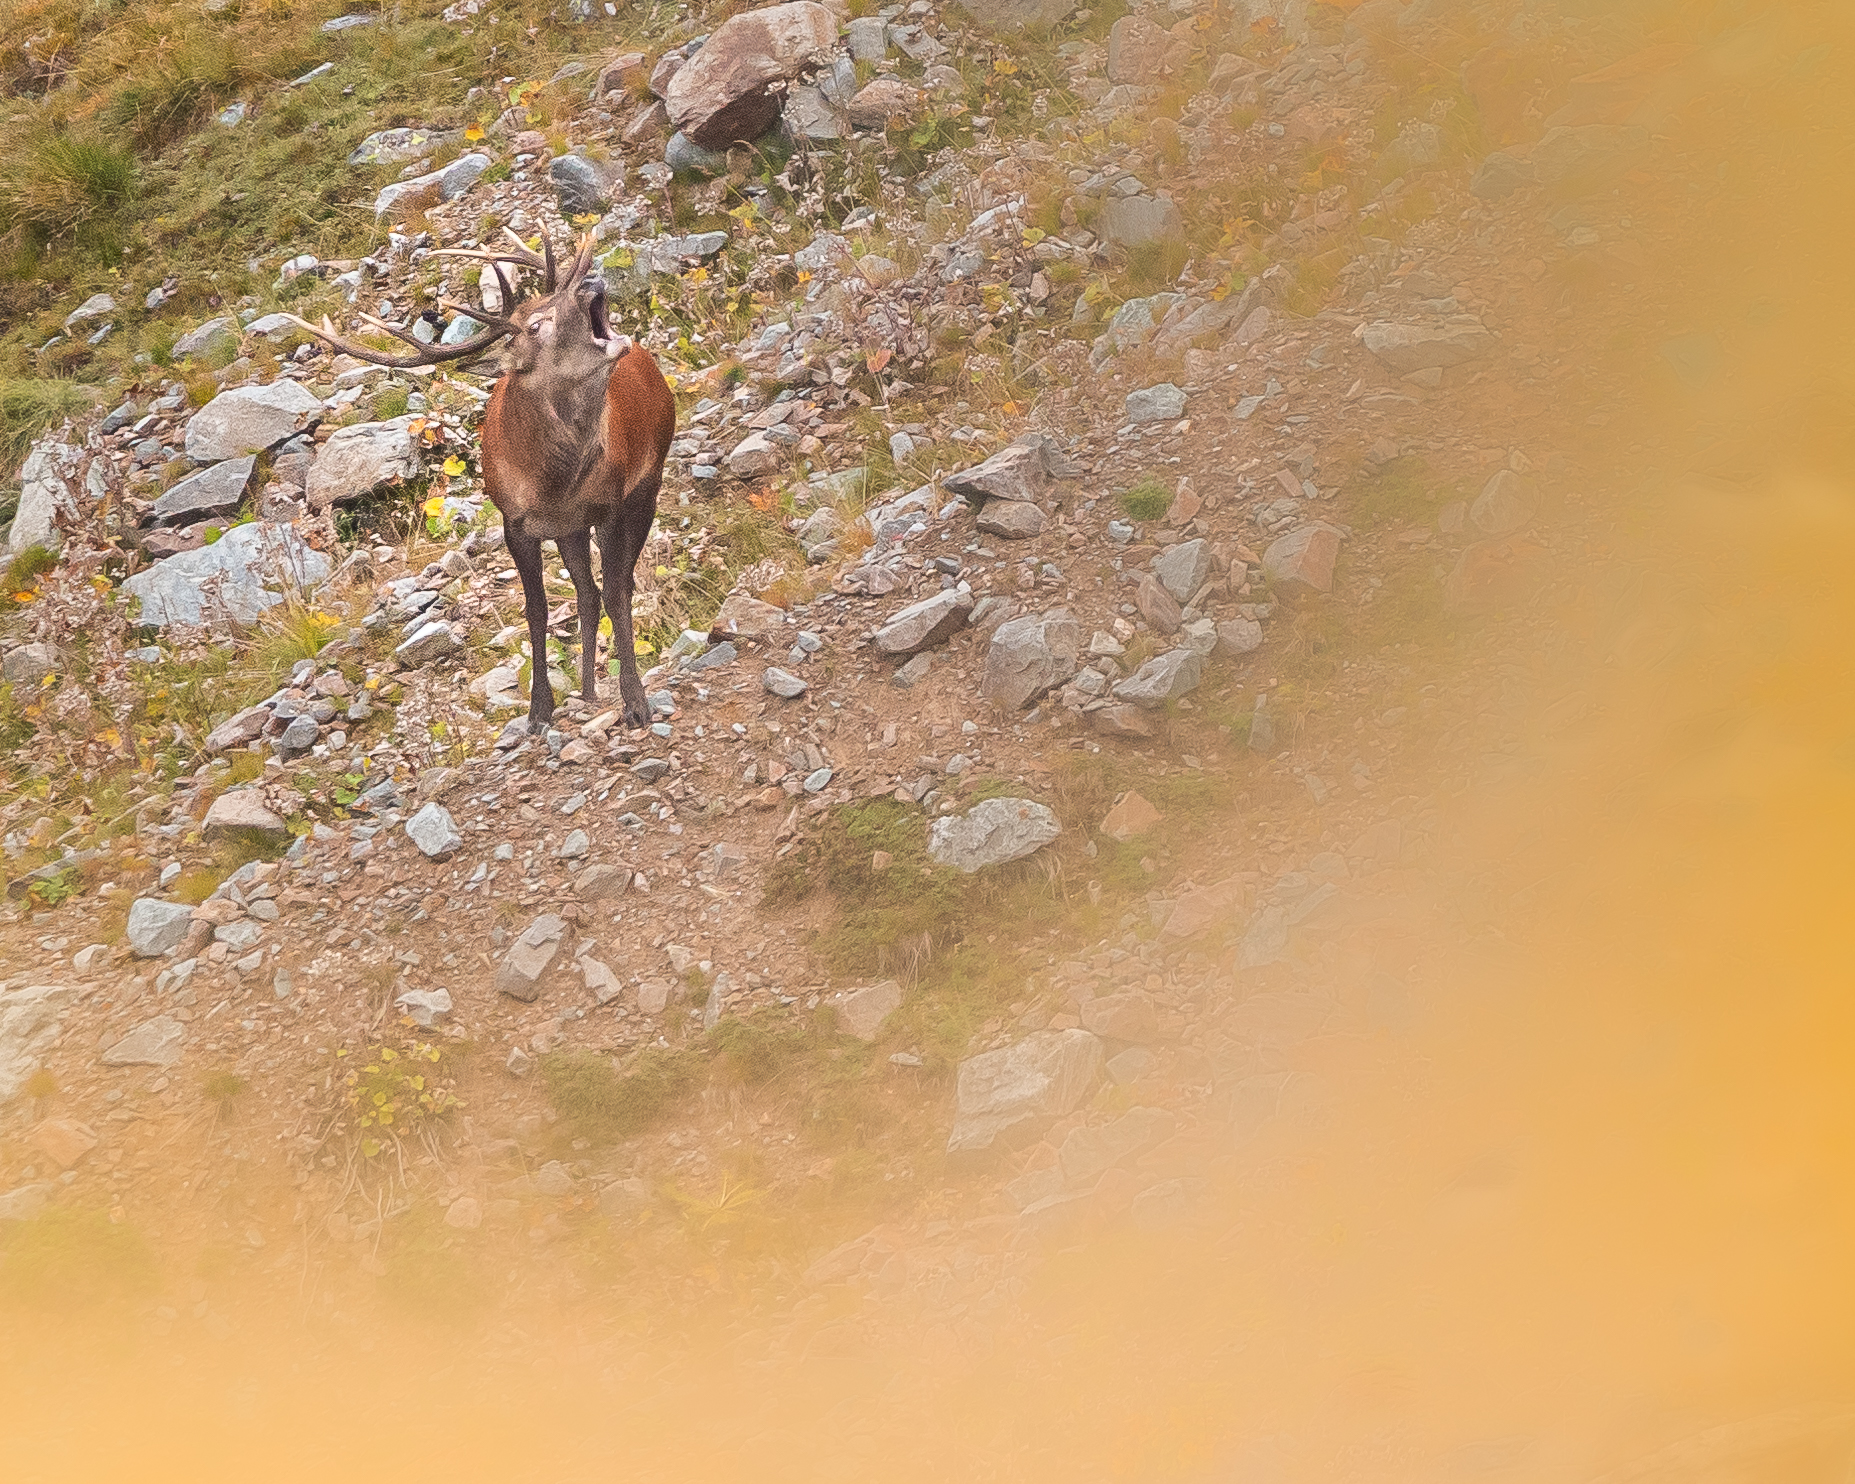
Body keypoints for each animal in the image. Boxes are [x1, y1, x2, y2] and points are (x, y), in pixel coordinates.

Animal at [285, 231, 676, 735]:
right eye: (535, 325)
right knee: (586, 595)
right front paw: (538, 710)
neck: (553, 481)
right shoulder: (515, 523)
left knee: (615, 585)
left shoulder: (609, 505)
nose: (590, 280)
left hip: (648, 480)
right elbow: (537, 610)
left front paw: (635, 702)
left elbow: (616, 593)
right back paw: (587, 690)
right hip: (569, 529)